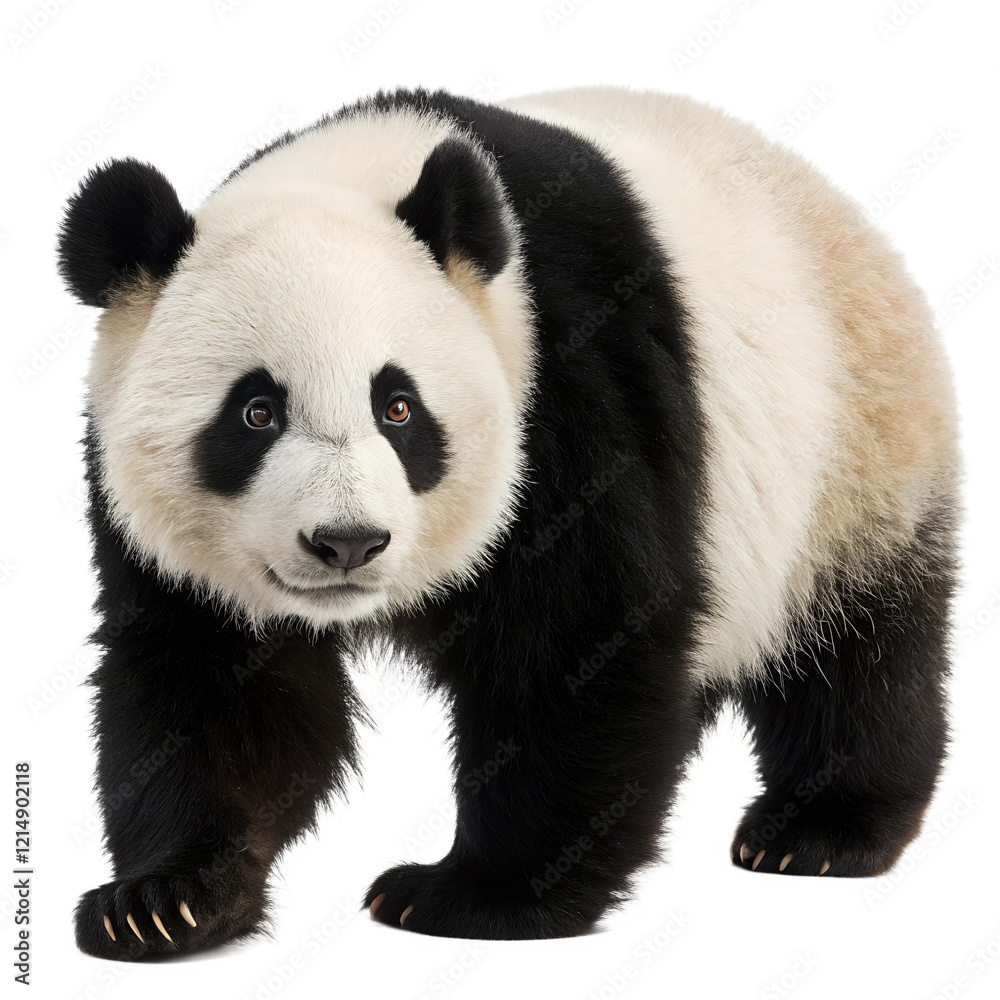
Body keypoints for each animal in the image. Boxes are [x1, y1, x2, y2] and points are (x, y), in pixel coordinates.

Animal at [57, 86, 959, 959]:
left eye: (398, 408)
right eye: (256, 411)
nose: (347, 542)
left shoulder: (570, 394)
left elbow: (576, 645)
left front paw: (474, 895)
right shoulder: (153, 525)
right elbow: (211, 683)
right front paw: (163, 902)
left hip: (854, 452)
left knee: (857, 652)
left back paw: (819, 830)